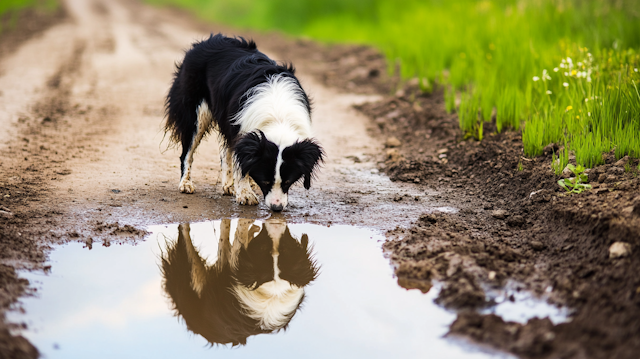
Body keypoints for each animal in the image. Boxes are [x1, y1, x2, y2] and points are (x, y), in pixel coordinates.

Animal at [165, 33, 324, 211]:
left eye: (288, 181)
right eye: (265, 181)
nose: (276, 208)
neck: (278, 119)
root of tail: (205, 41)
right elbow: (242, 165)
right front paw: (246, 195)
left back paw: (228, 186)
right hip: (195, 109)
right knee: (188, 150)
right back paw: (186, 184)